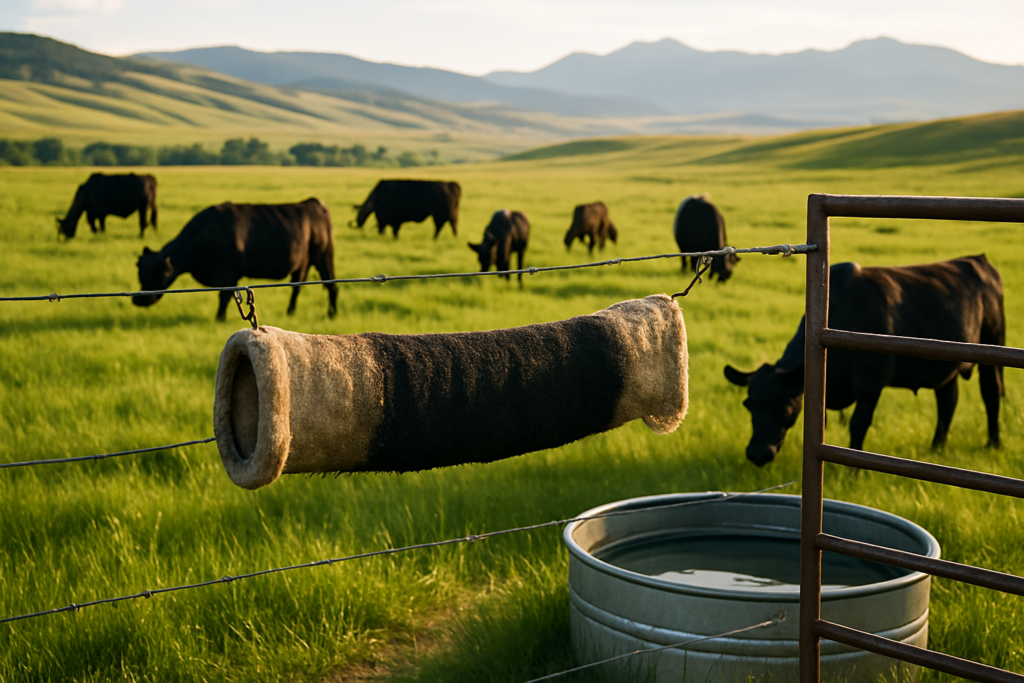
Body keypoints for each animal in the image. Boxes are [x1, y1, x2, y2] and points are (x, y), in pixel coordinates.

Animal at [133, 198, 338, 320]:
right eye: (140, 274)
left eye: (157, 274)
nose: (137, 300)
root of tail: (313, 202)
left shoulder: (227, 273)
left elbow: (224, 297)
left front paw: (219, 318)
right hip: (303, 263)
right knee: (297, 287)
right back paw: (291, 312)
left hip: (323, 256)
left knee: (331, 285)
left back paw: (332, 314)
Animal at [724, 255, 1004, 466]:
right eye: (749, 405)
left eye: (783, 408)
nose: (757, 454)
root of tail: (977, 260)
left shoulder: (871, 384)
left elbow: (858, 425)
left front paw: (852, 472)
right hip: (945, 370)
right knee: (947, 402)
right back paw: (937, 447)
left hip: (993, 344)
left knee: (990, 393)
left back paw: (994, 444)